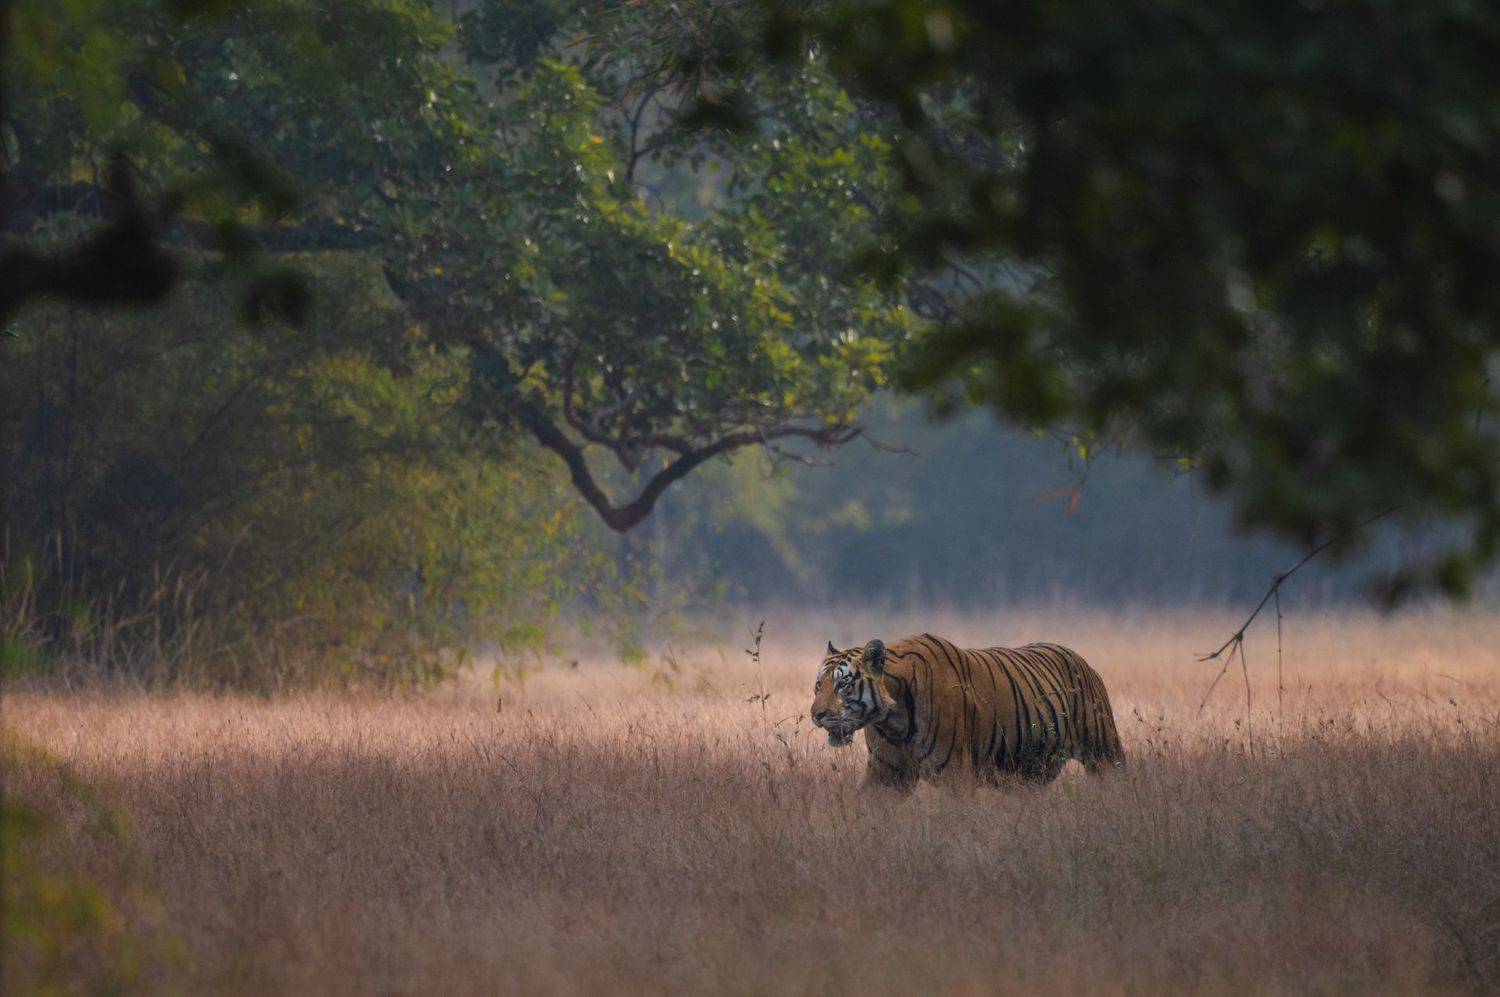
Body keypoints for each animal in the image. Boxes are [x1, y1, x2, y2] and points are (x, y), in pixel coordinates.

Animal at [809, 633, 1124, 791]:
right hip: (1028, 772)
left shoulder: (954, 773)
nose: (817, 715)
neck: (892, 720)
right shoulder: (886, 772)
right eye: (818, 685)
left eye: (842, 683)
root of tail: (1081, 658)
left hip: (1103, 752)